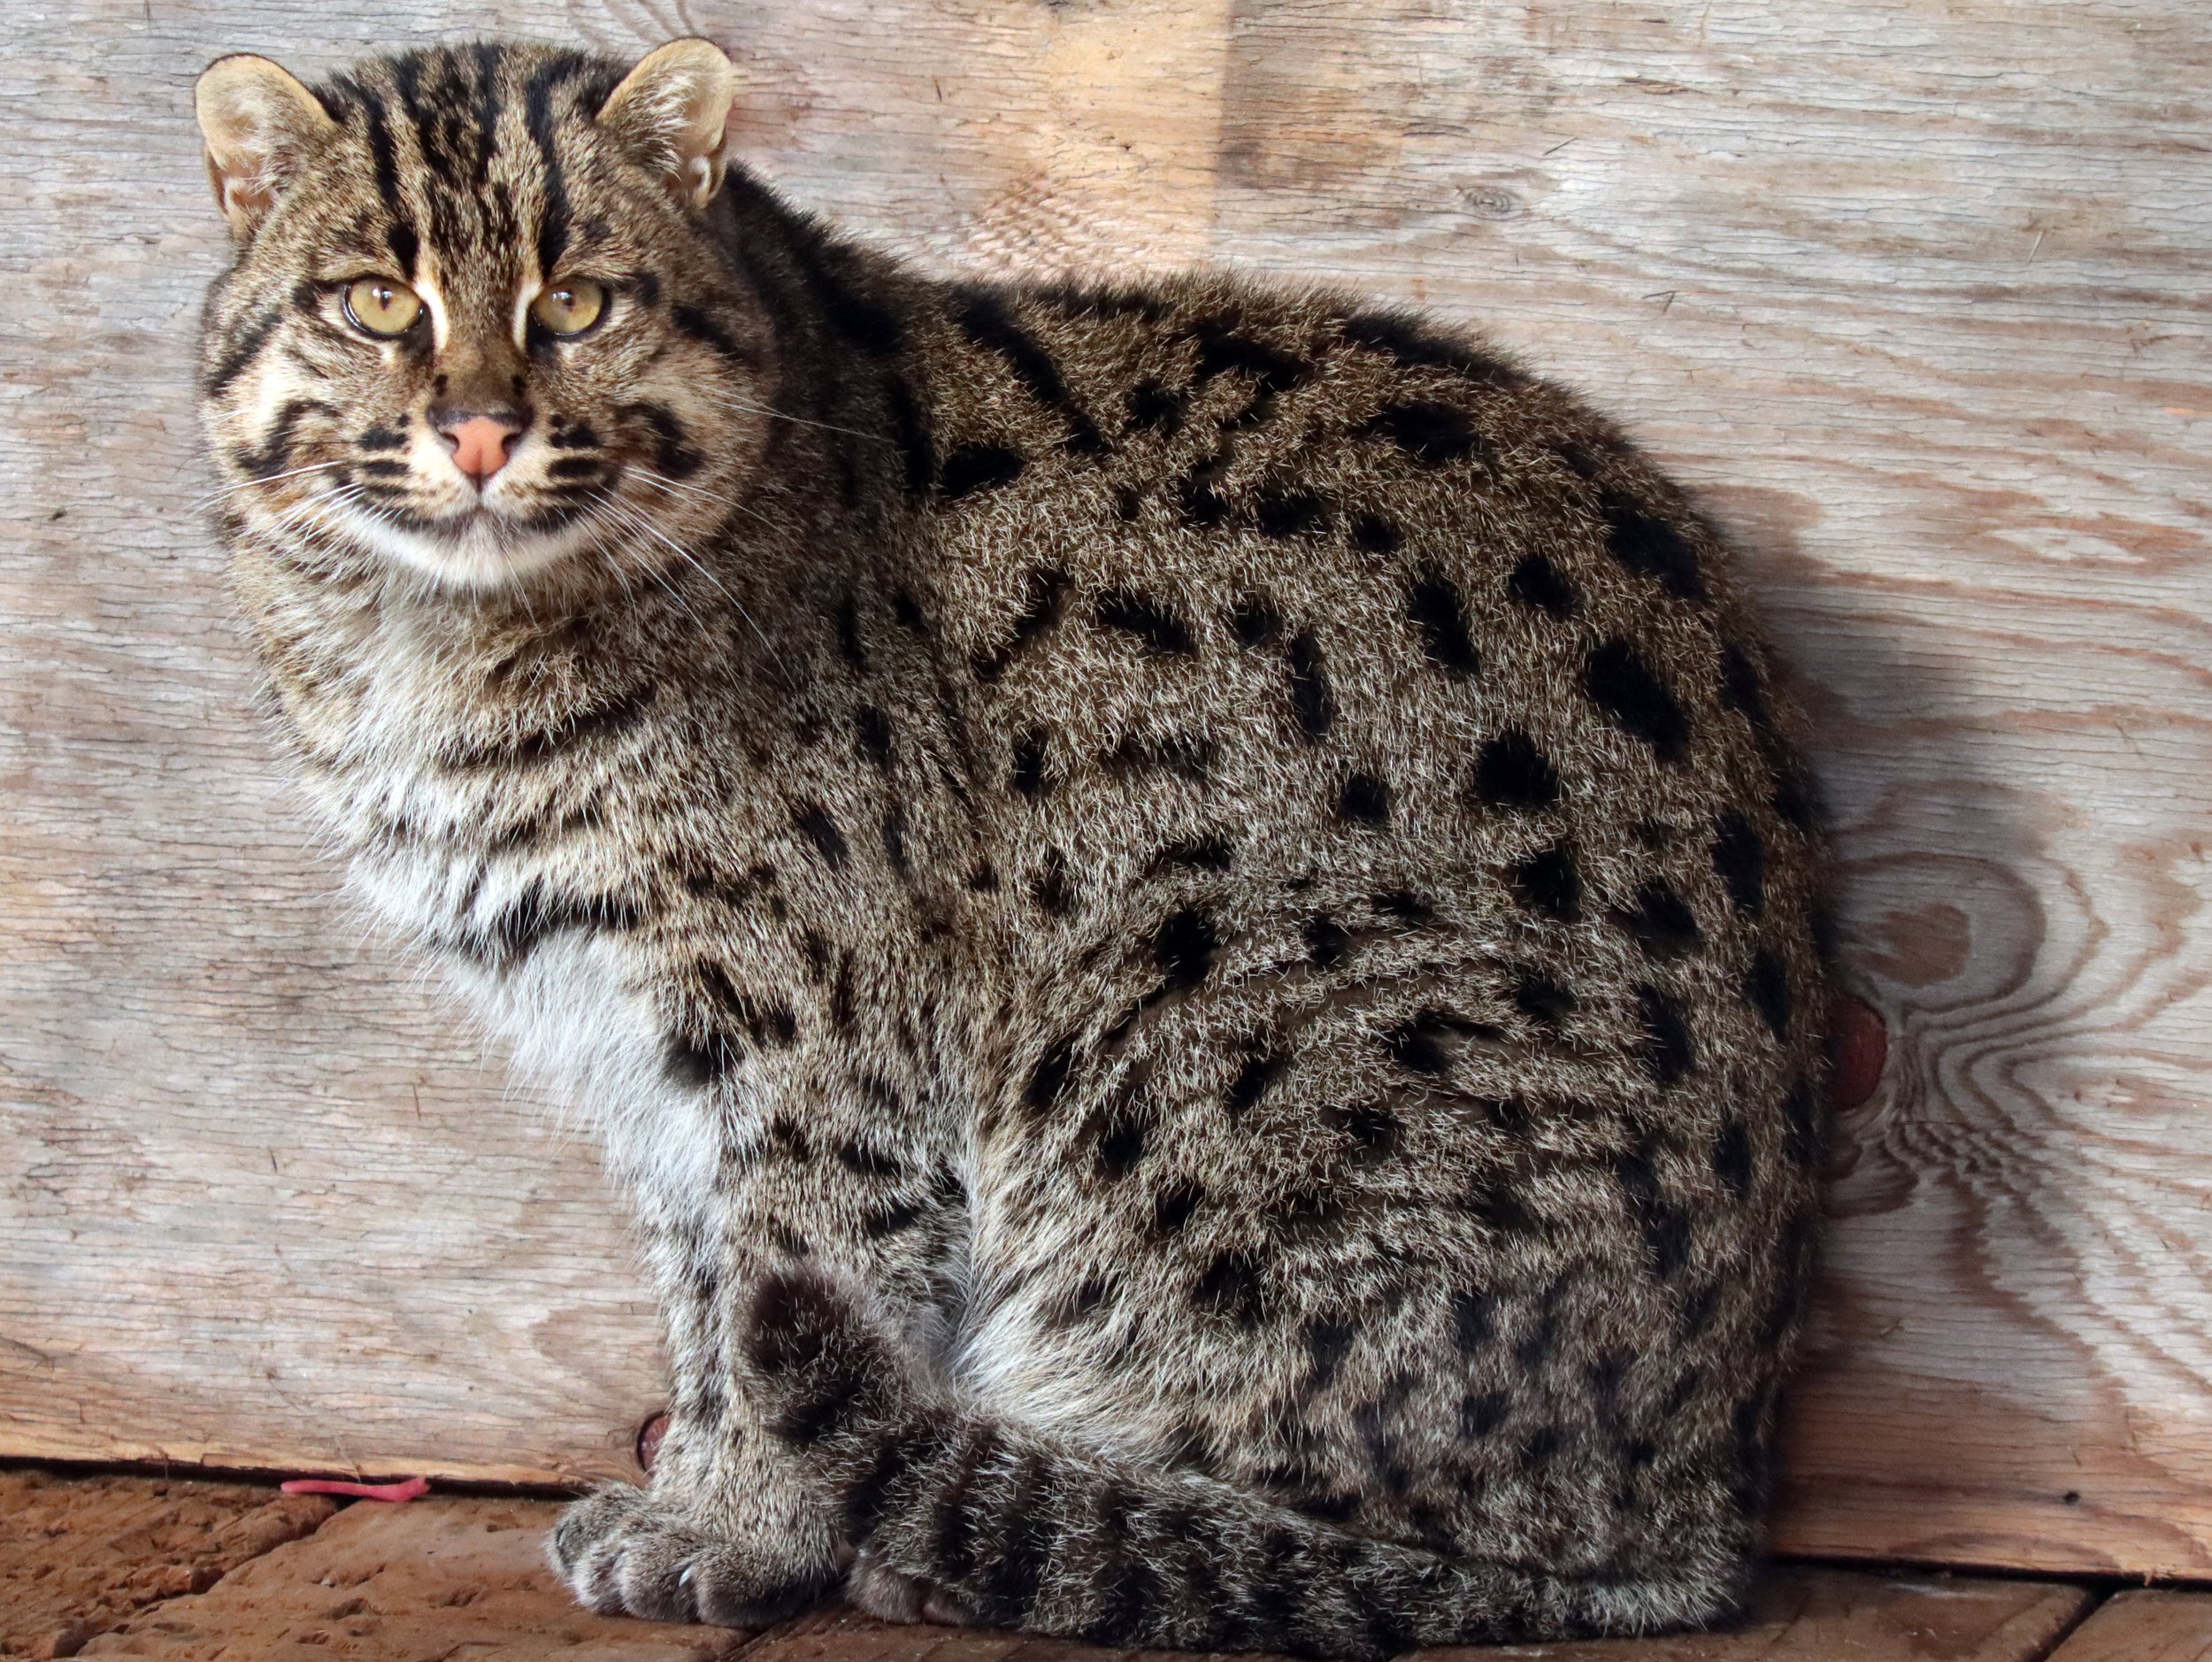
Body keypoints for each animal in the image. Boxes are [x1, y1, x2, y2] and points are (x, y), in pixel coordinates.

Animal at [193, 37, 1831, 1657]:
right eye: (376, 303)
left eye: (579, 303)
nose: (478, 431)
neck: (442, 642)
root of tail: (1711, 1506)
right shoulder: (634, 1043)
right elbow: (705, 1291)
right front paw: (707, 1492)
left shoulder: (816, 1018)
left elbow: (792, 1273)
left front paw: (746, 1526)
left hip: (1194, 1009)